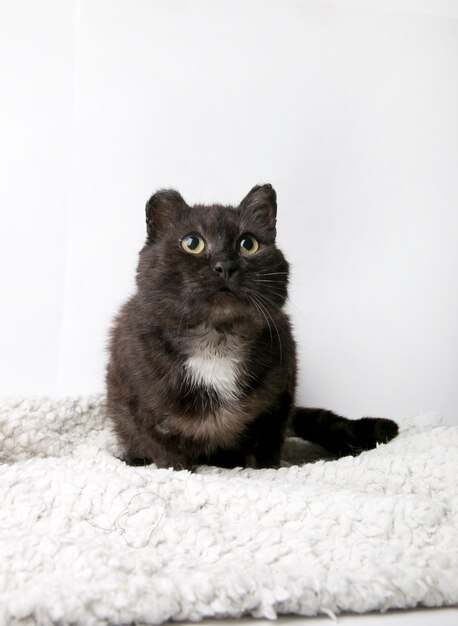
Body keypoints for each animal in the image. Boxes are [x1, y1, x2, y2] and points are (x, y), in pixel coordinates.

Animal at [106, 184, 398, 468]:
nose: (225, 265)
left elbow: (267, 443)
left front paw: (266, 469)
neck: (216, 340)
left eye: (248, 244)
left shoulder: (279, 397)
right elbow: (167, 451)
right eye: (192, 243)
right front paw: (178, 469)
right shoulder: (139, 403)